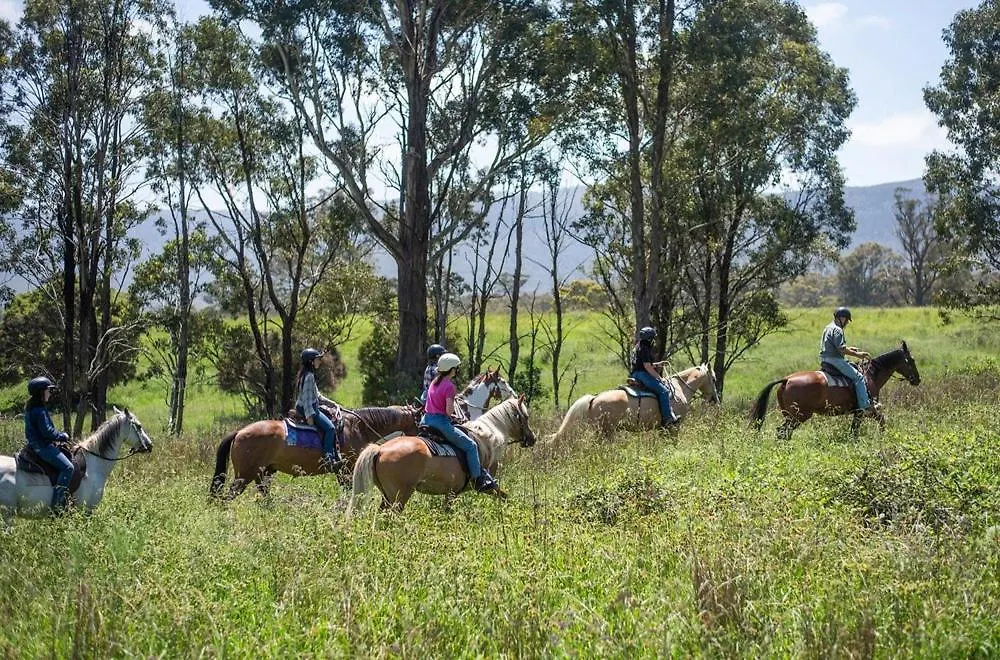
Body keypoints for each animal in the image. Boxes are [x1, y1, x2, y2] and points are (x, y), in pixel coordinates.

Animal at [209, 404, 420, 500]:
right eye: (419, 423)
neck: (358, 427)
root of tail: (239, 432)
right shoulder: (346, 470)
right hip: (244, 475)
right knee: (227, 497)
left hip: (264, 472)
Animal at [347, 395, 537, 514]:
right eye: (526, 417)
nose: (532, 438)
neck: (485, 440)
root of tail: (380, 449)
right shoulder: (488, 486)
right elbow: (504, 497)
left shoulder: (451, 493)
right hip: (399, 496)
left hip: (387, 496)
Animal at [547, 364, 720, 442]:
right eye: (714, 379)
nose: (715, 400)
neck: (679, 389)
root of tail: (594, 398)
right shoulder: (674, 426)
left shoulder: (663, 427)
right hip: (606, 432)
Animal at [749, 341, 921, 439]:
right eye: (911, 360)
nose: (917, 380)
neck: (870, 375)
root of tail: (786, 380)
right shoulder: (865, 410)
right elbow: (876, 423)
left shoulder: (860, 413)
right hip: (798, 416)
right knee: (782, 431)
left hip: (790, 415)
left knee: (783, 432)